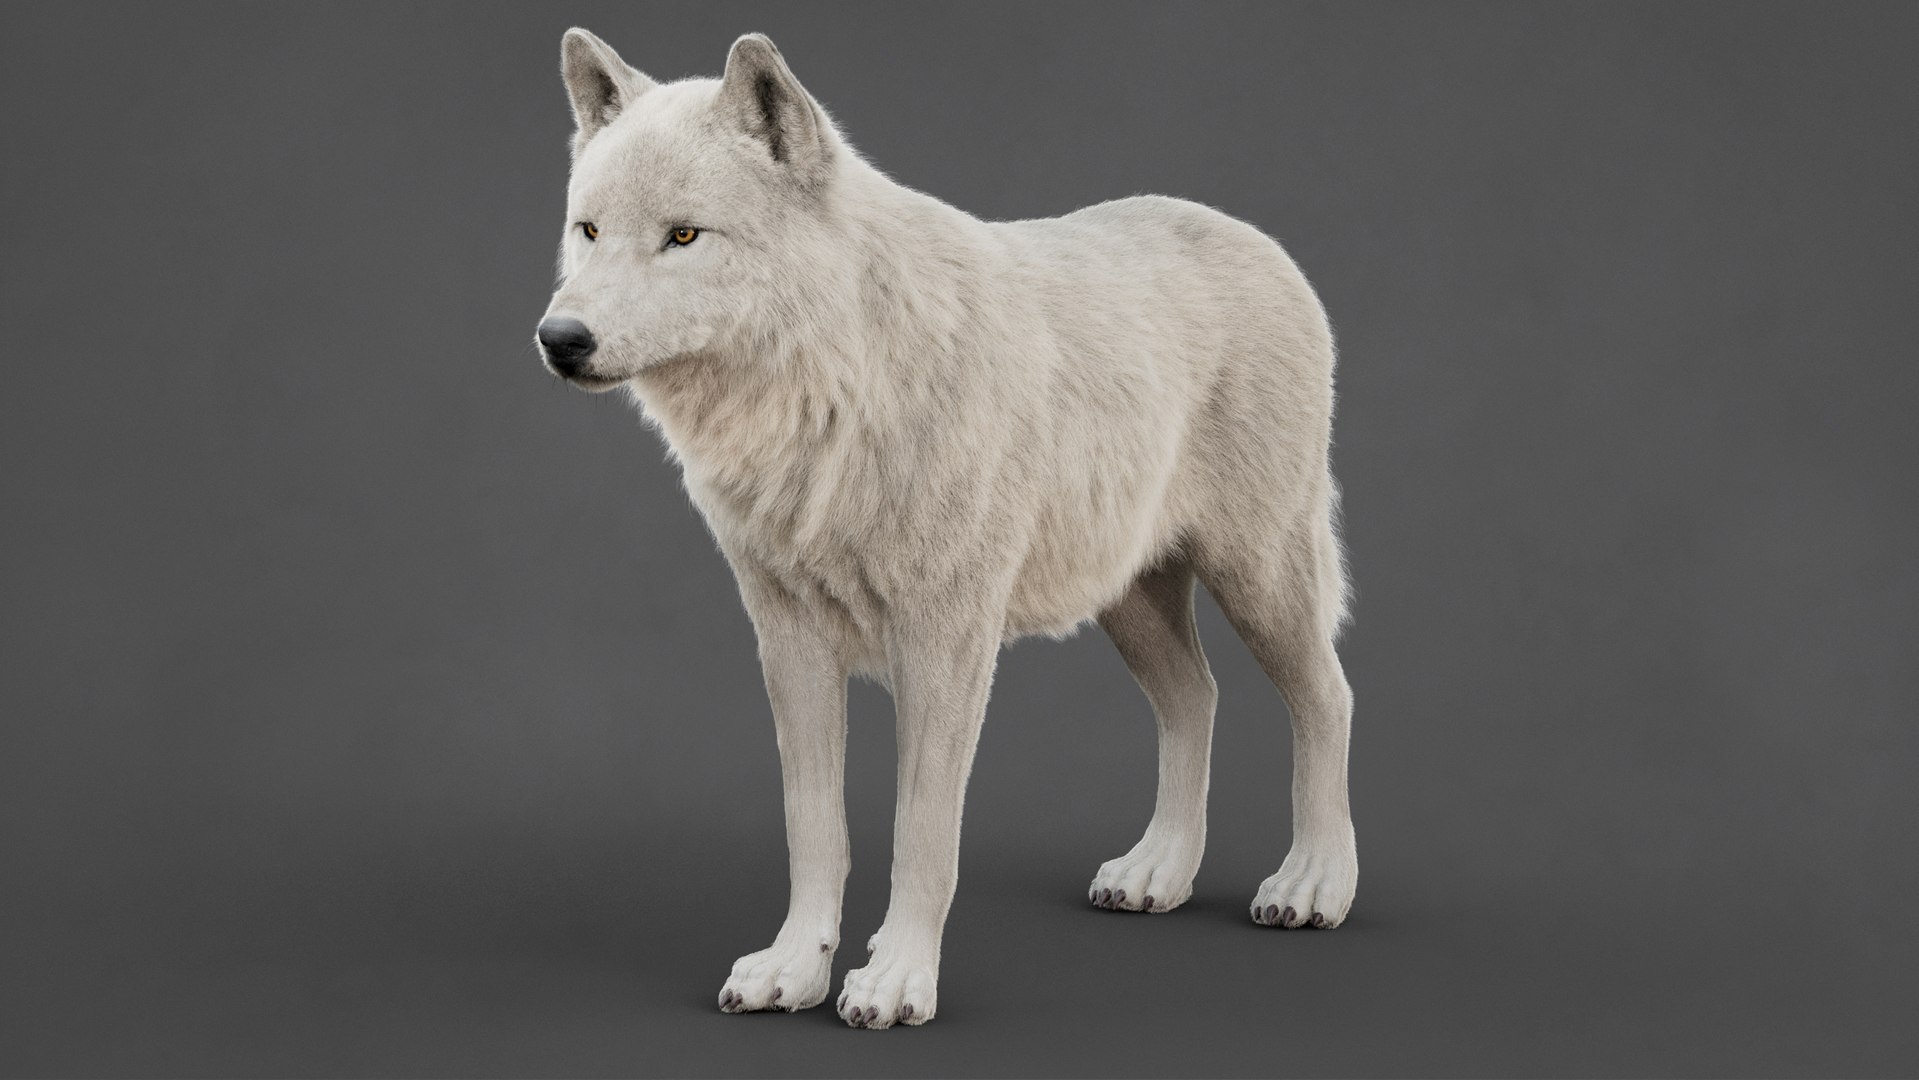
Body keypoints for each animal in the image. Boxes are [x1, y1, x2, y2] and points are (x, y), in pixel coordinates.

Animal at [536, 29, 1358, 1029]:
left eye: (683, 235)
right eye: (588, 231)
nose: (559, 339)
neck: (834, 390)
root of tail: (1260, 240)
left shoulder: (944, 640)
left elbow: (921, 832)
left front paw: (895, 981)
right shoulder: (787, 640)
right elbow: (814, 827)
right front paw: (793, 970)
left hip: (1258, 577)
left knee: (1326, 698)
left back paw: (1313, 883)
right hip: (1128, 600)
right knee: (1194, 698)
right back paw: (1158, 871)